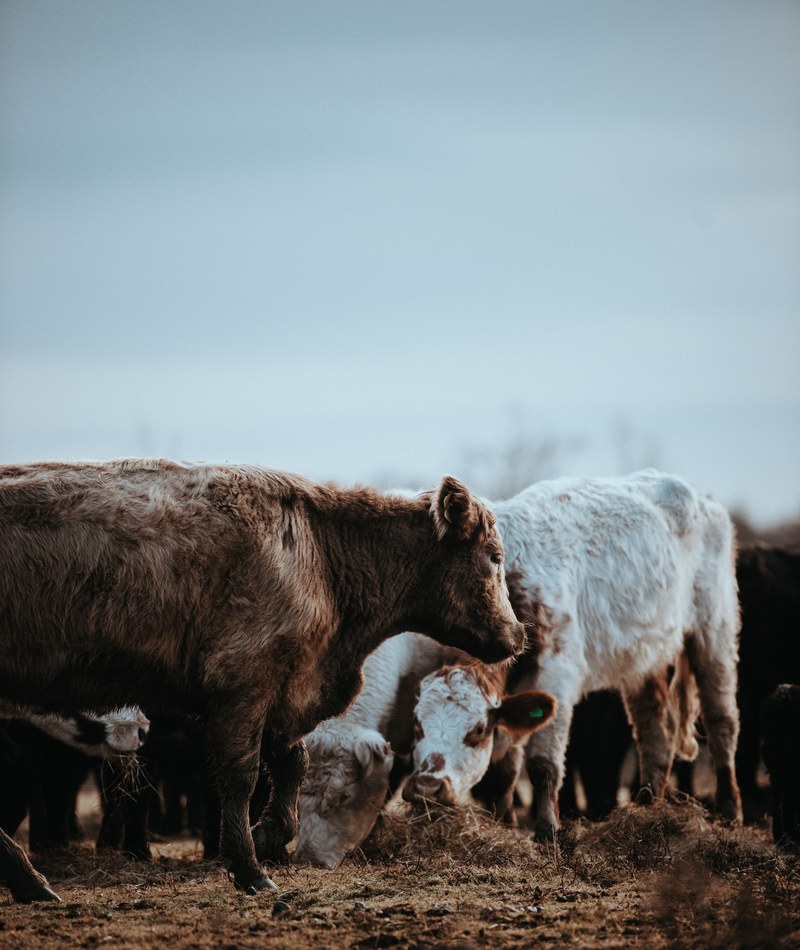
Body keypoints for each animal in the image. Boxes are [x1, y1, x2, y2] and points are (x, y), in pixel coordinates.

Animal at [0, 459, 524, 901]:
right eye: (494, 556)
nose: (517, 633)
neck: (320, 553)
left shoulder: (283, 694)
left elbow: (292, 763)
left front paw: (271, 835)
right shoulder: (242, 690)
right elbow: (242, 778)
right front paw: (249, 868)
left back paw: (30, 882)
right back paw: (31, 880)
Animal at [404, 470, 742, 840]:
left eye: (477, 730)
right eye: (417, 724)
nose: (426, 788)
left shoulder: (556, 676)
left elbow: (542, 764)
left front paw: (547, 830)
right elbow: (506, 767)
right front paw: (505, 824)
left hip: (714, 632)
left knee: (721, 720)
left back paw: (729, 811)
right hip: (643, 657)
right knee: (655, 731)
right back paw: (649, 806)